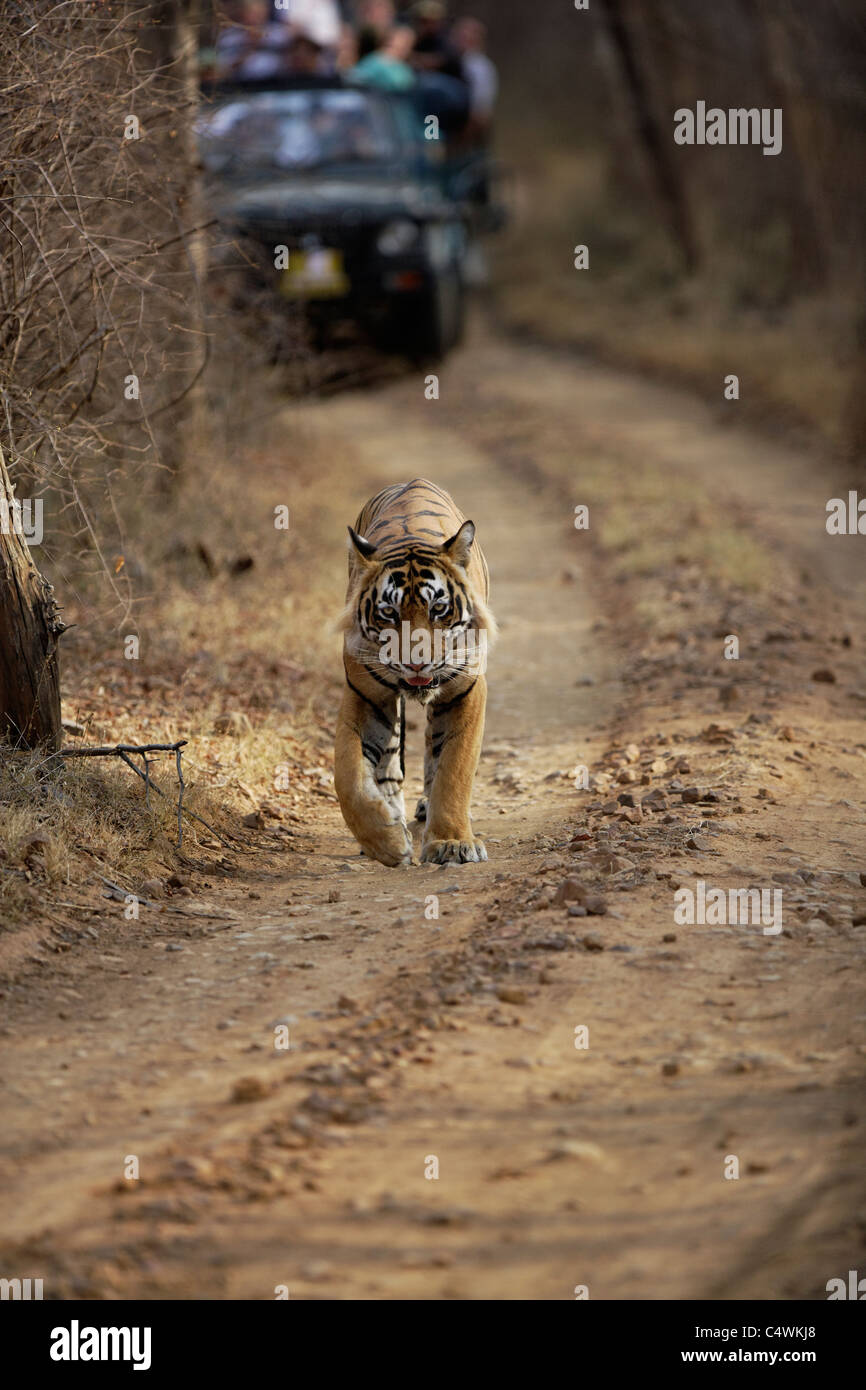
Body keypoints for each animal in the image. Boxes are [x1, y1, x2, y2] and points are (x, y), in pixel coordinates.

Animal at [337, 483, 497, 861]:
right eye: (388, 612)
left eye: (438, 608)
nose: (416, 663)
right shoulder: (364, 694)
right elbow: (348, 777)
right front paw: (386, 842)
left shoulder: (466, 690)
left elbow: (454, 769)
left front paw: (452, 842)